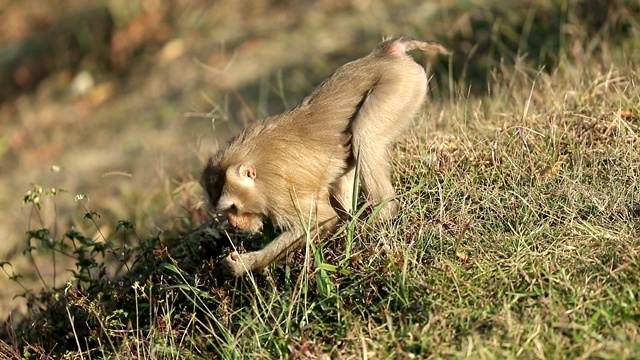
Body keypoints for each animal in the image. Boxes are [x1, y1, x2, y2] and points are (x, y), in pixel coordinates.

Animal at [200, 36, 450, 278]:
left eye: (233, 208)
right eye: (226, 211)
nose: (233, 224)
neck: (259, 176)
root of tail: (383, 53)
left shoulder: (281, 193)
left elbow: (321, 220)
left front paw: (243, 265)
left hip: (400, 86)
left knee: (363, 134)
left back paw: (382, 216)